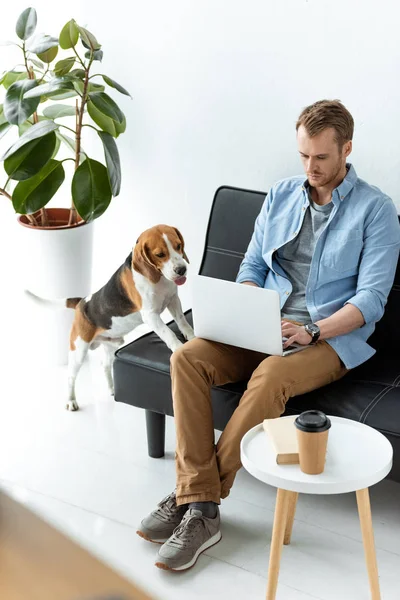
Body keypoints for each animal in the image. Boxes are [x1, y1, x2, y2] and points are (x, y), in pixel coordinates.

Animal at [28, 225, 195, 412]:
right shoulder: (150, 315)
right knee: (71, 377)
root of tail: (82, 302)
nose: (181, 270)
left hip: (111, 344)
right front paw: (179, 348)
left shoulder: (173, 299)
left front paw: (191, 337)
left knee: (105, 365)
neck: (158, 278)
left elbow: (182, 322)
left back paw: (112, 389)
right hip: (79, 350)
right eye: (160, 254)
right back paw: (71, 401)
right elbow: (169, 333)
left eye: (178, 245)